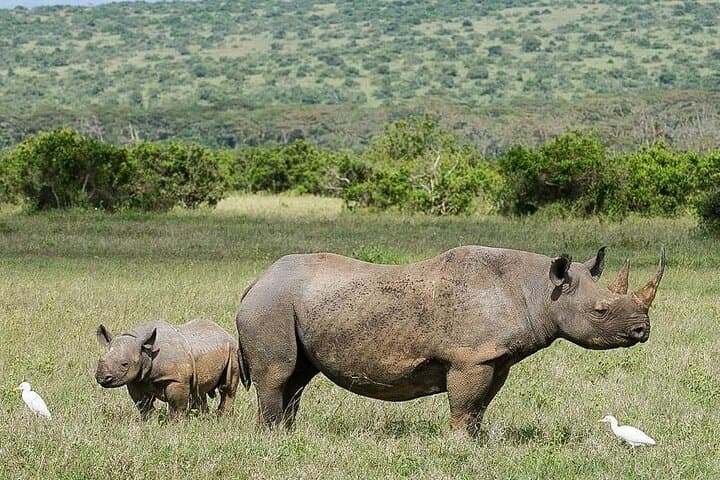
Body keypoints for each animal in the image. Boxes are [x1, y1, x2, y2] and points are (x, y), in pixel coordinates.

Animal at [95, 319, 239, 419]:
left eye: (125, 364)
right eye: (100, 359)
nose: (102, 378)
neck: (146, 352)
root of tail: (225, 332)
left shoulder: (176, 379)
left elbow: (176, 405)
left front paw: (176, 423)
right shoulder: (136, 379)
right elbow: (142, 404)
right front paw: (149, 421)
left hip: (233, 350)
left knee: (227, 387)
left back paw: (223, 418)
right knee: (199, 390)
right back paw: (202, 417)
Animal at [235, 245, 666, 435]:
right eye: (601, 311)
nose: (642, 332)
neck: (540, 291)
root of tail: (256, 280)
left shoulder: (495, 358)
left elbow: (480, 406)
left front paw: (477, 442)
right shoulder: (470, 357)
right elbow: (463, 404)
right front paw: (458, 444)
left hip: (286, 302)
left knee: (298, 377)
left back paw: (288, 434)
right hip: (270, 305)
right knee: (279, 373)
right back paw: (272, 439)